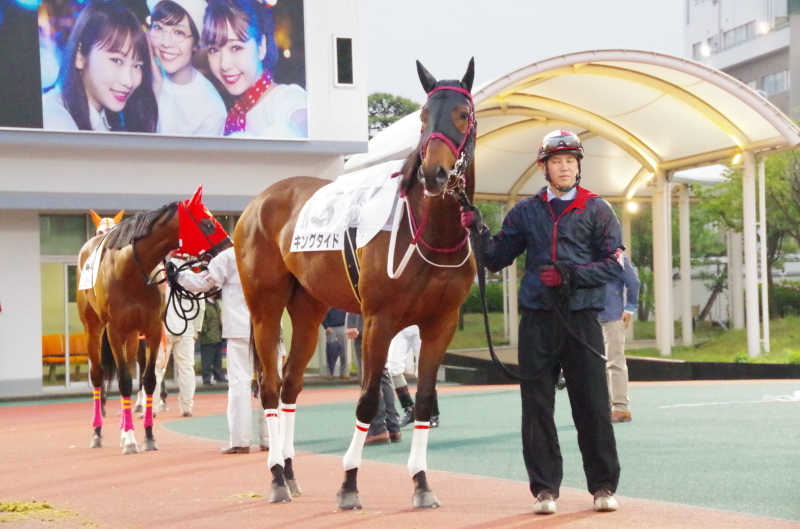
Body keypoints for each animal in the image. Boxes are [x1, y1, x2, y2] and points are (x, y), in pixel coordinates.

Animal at [78, 188, 230, 452]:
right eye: (208, 224)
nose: (230, 247)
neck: (129, 270)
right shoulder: (114, 330)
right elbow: (124, 381)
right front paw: (130, 439)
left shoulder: (153, 329)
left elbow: (148, 379)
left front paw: (147, 436)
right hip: (94, 328)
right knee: (97, 374)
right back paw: (97, 432)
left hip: (131, 336)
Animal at [234, 59, 478, 510]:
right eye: (422, 117)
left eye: (462, 114)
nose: (434, 173)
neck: (428, 232)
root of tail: (258, 202)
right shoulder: (378, 321)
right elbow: (366, 401)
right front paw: (348, 484)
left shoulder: (442, 323)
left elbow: (424, 401)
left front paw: (421, 483)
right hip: (264, 308)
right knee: (272, 388)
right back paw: (276, 477)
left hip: (308, 309)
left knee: (291, 384)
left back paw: (290, 473)